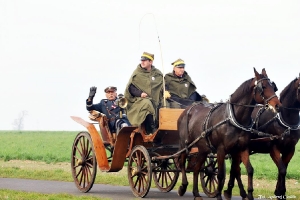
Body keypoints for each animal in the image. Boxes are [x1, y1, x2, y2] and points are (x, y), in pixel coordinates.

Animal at [176, 68, 282, 200]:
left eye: (273, 87)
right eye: (263, 87)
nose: (278, 105)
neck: (234, 119)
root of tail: (186, 110)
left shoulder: (242, 149)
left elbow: (249, 170)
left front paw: (249, 194)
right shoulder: (221, 150)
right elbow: (221, 174)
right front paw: (218, 195)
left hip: (203, 149)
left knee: (196, 169)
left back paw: (196, 193)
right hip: (185, 144)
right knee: (182, 162)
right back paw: (183, 186)